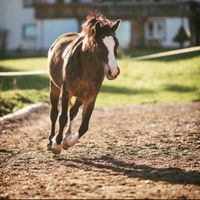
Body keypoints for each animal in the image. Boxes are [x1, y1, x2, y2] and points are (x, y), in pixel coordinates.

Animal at [47, 12, 121, 155]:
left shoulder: (90, 97)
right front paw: (56, 144)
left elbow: (84, 126)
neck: (86, 67)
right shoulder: (66, 93)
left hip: (80, 96)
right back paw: (51, 140)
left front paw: (67, 142)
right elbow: (62, 118)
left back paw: (66, 136)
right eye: (100, 45)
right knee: (54, 113)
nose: (113, 72)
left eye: (116, 45)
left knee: (73, 113)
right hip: (55, 88)